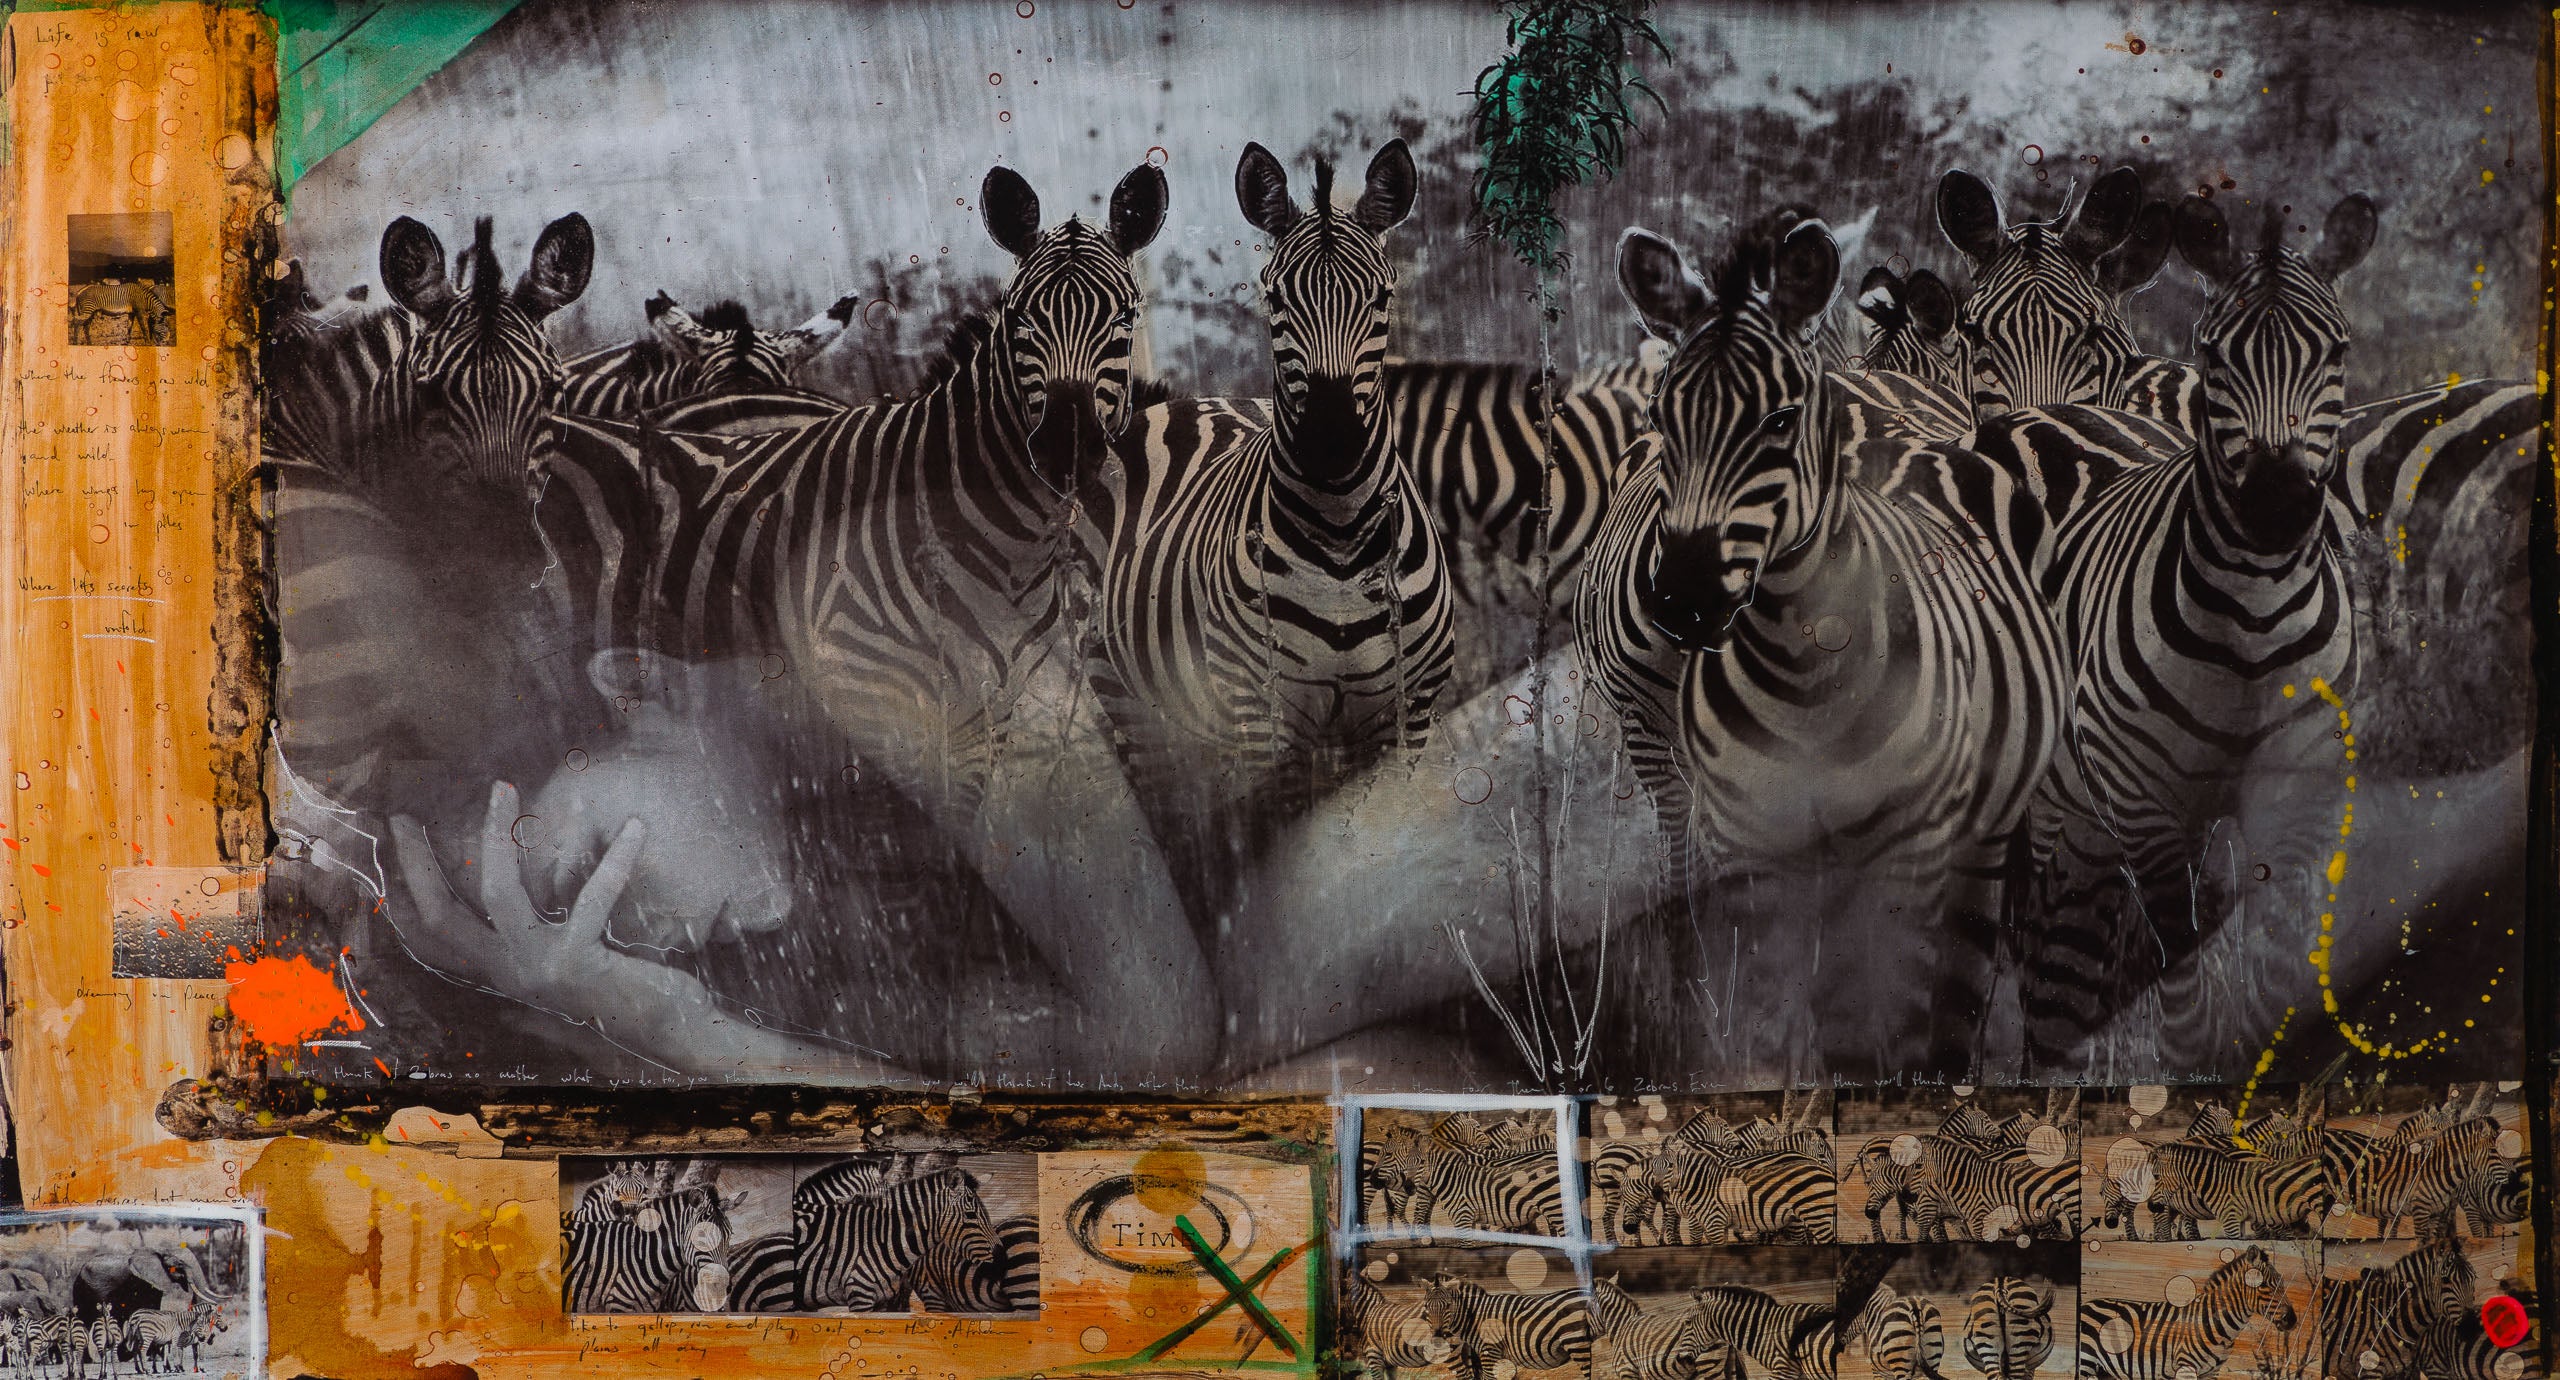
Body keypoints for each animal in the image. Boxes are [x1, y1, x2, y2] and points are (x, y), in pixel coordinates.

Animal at [1092, 138, 1453, 860]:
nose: (1332, 442)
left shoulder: (1409, 714)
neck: (1341, 542)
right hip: (1128, 701)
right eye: (1276, 297)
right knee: (1175, 815)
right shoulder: (1265, 719)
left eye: (1381, 297)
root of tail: (1170, 405)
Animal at [1421, 1275, 1596, 1380]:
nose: (1437, 1337)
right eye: (1427, 1307)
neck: (1476, 1317)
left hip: (1575, 1340)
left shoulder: (1489, 1351)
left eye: (1447, 1306)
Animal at [2017, 193, 2374, 1070]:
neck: (2250, 615)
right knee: (2046, 946)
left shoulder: (2299, 798)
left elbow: (2274, 966)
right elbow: (2184, 994)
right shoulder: (2148, 810)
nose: (2277, 502)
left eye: (2337, 350)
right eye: (2214, 355)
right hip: (2060, 799)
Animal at [2078, 1244, 2297, 1380]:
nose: (2293, 1320)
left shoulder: (2211, 1373)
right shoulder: (2186, 1367)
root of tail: (2086, 1304)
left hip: (2105, 1370)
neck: (2213, 1322)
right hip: (2086, 1362)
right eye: (2265, 1286)